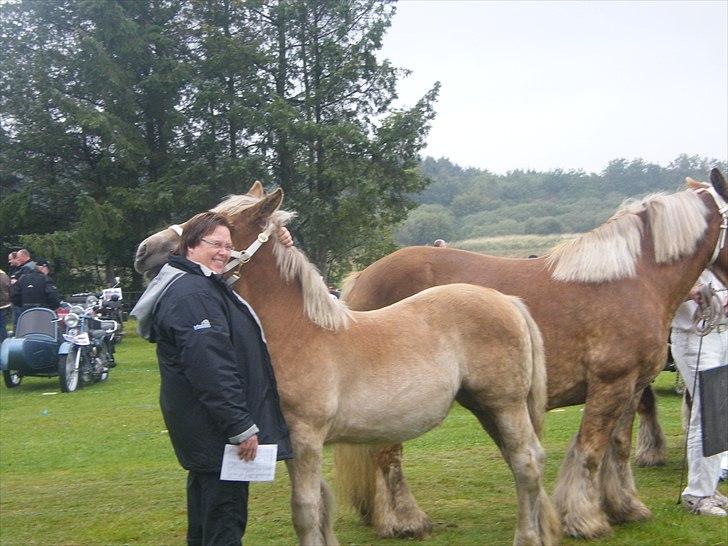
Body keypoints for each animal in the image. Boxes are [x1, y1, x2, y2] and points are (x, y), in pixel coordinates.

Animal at [134, 185, 560, 540]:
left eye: (215, 225)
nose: (144, 251)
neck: (300, 333)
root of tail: (508, 302)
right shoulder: (295, 446)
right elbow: (321, 507)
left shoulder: (306, 439)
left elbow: (305, 511)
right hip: (486, 407)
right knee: (523, 462)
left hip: (504, 405)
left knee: (525, 463)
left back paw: (527, 537)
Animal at [336, 169, 728, 536]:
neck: (634, 280)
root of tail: (361, 278)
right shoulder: (609, 385)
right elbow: (590, 450)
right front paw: (585, 519)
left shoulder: (632, 387)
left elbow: (618, 447)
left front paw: (625, 506)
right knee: (388, 455)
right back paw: (406, 520)